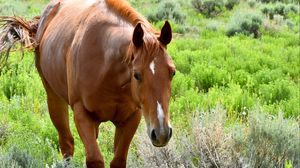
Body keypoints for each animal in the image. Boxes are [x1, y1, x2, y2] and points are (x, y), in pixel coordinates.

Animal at [0, 0, 176, 168]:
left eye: (173, 72)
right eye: (137, 75)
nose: (161, 133)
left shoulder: (131, 117)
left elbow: (118, 160)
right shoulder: (82, 114)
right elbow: (94, 159)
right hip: (54, 98)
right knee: (67, 144)